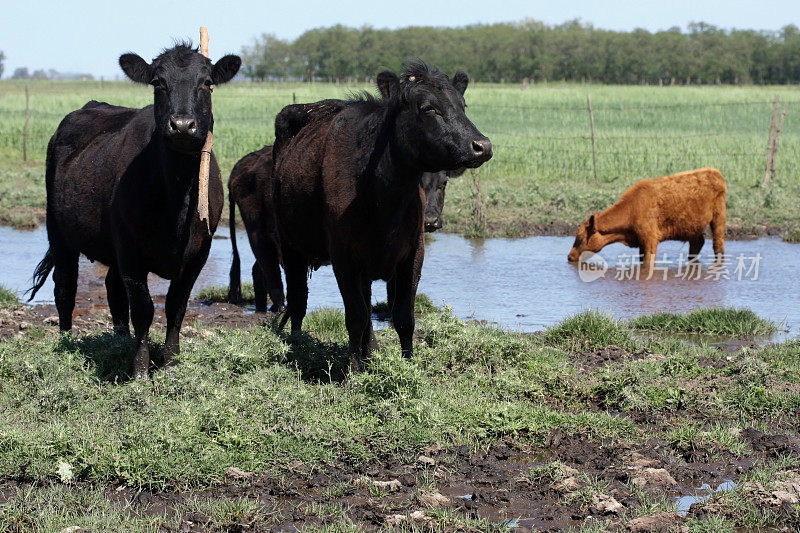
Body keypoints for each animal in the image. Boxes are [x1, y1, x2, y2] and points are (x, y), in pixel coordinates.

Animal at [29, 44, 241, 378]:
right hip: (58, 231)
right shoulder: (129, 248)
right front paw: (140, 369)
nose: (182, 125)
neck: (176, 199)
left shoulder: (200, 251)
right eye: (158, 83)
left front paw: (170, 363)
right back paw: (66, 340)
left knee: (113, 289)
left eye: (207, 83)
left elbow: (176, 306)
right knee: (65, 287)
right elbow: (143, 308)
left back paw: (119, 339)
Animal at [272, 60, 490, 372]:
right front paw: (354, 371)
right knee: (299, 300)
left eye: (463, 105)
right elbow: (355, 316)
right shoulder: (343, 256)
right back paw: (298, 344)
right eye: (428, 108)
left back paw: (370, 350)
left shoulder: (413, 253)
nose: (482, 145)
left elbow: (403, 316)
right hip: (291, 245)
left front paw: (407, 365)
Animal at [568, 167, 724, 270]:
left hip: (718, 219)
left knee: (718, 245)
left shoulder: (650, 239)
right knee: (697, 243)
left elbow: (648, 263)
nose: (569, 257)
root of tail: (713, 171)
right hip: (692, 226)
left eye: (580, 239)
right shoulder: (641, 242)